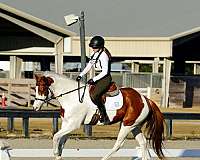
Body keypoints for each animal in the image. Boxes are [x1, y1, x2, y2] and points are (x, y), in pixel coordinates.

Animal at [33, 72, 166, 160]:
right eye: (35, 88)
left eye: (42, 88)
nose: (34, 107)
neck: (71, 96)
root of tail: (145, 99)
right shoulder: (67, 124)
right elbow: (61, 140)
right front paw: (59, 156)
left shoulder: (73, 125)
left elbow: (56, 137)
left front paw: (56, 153)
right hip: (135, 126)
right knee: (143, 143)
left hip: (127, 125)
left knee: (118, 145)